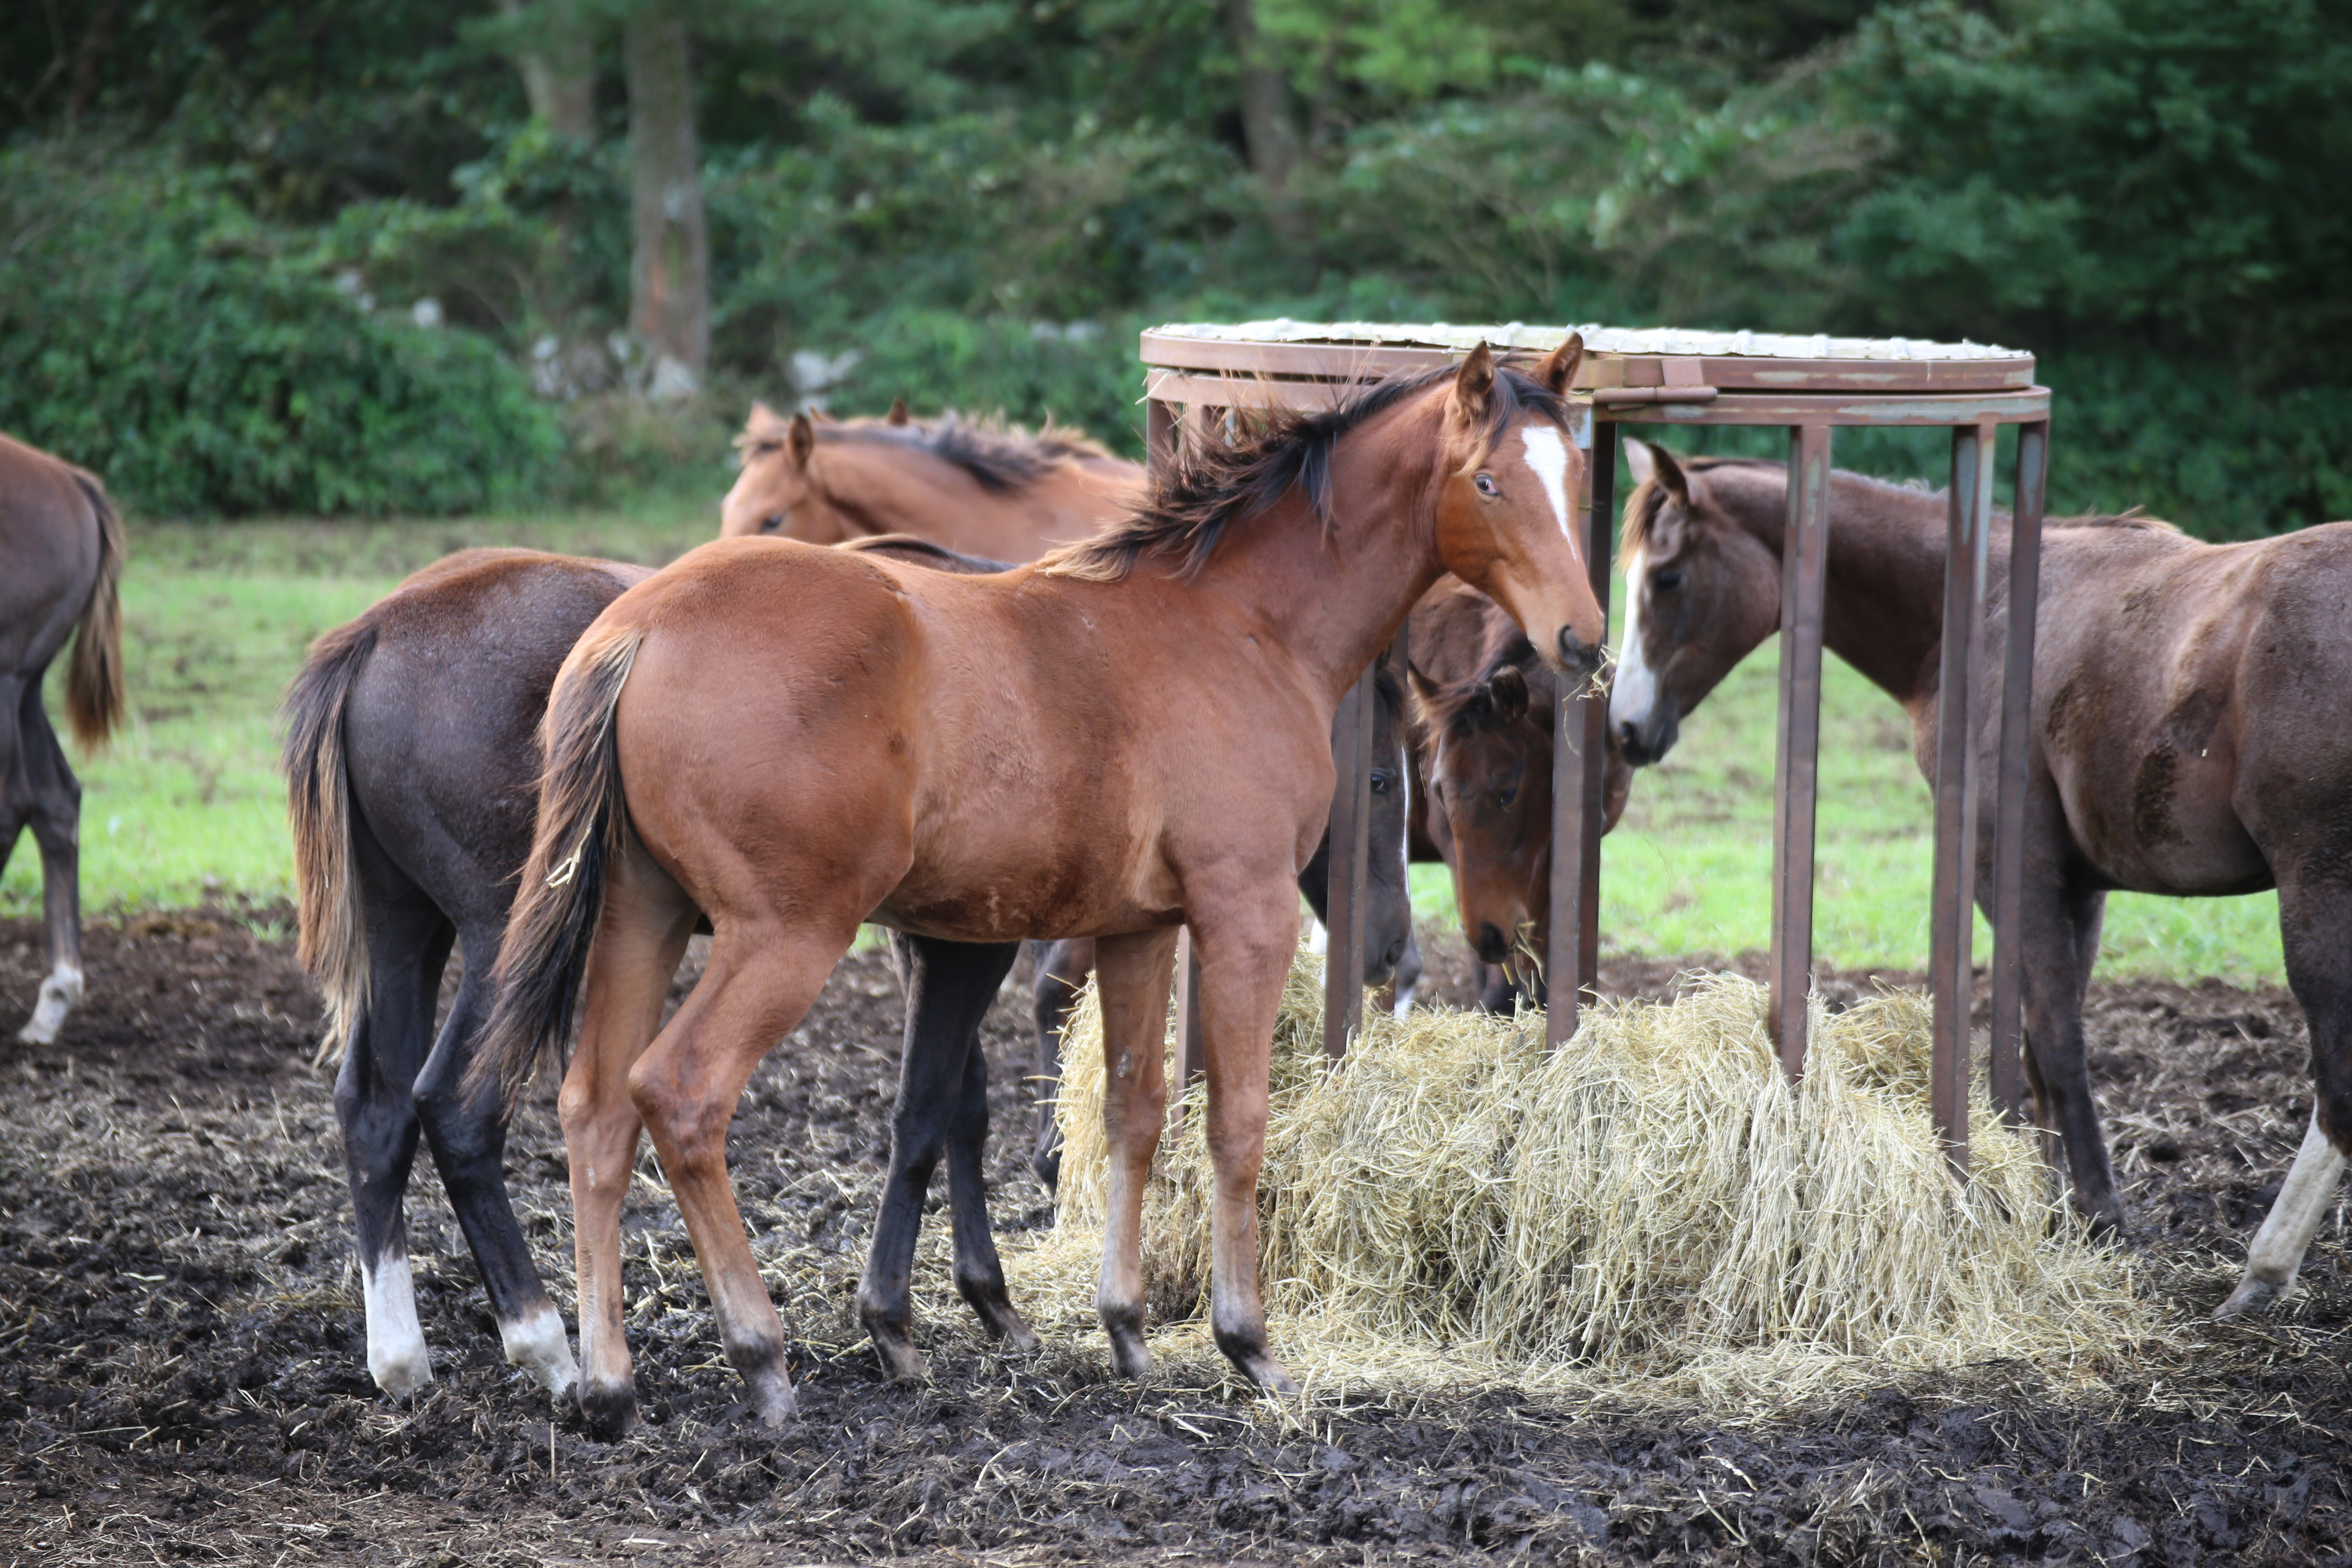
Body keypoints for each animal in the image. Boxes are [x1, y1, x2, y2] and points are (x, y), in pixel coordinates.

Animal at [1608, 439, 2352, 1316]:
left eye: (1666, 579)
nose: (1625, 728)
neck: (1986, 610)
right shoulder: (2079, 888)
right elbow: (2041, 1048)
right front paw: (2048, 1204)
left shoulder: (2015, 872)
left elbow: (2058, 1044)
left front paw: (2101, 1216)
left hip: (2317, 893)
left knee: (2337, 1086)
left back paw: (2264, 1271)